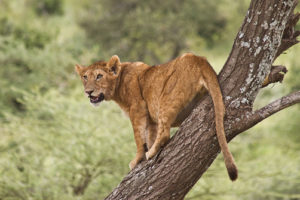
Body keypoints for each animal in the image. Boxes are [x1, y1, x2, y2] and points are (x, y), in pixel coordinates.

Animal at [75, 53, 239, 181]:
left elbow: (138, 137)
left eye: (99, 76)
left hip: (166, 98)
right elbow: (149, 136)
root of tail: (199, 59)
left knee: (165, 132)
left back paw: (151, 153)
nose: (88, 92)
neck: (119, 82)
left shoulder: (138, 108)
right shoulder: (150, 119)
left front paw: (137, 159)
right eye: (85, 77)